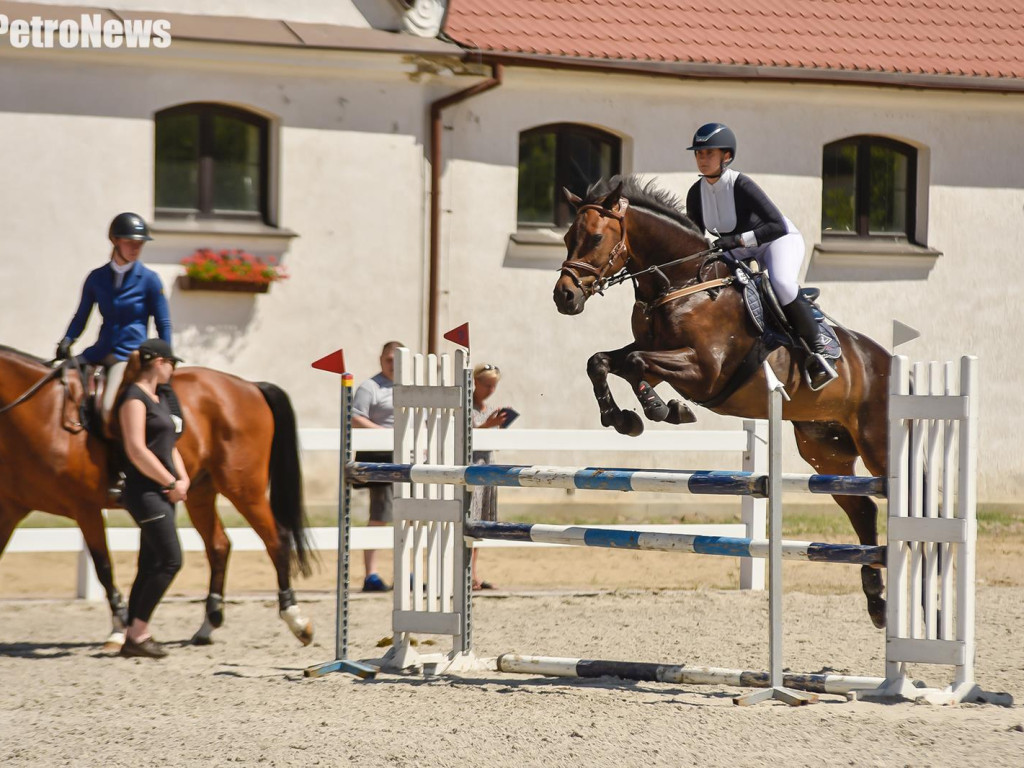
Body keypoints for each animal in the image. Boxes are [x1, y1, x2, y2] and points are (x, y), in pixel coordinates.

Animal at [0, 348, 311, 651]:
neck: (43, 413)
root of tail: (250, 386)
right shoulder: (11, 509)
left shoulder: (84, 507)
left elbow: (103, 568)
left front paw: (119, 629)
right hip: (200, 492)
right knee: (219, 546)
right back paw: (207, 627)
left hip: (244, 489)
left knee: (276, 539)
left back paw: (296, 620)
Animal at [557, 177, 892, 626]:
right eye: (566, 238)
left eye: (594, 237)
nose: (564, 297)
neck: (680, 283)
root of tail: (889, 363)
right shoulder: (658, 357)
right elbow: (604, 362)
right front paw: (624, 417)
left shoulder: (705, 371)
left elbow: (635, 361)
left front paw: (662, 410)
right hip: (825, 452)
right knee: (863, 511)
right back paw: (877, 602)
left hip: (877, 447)